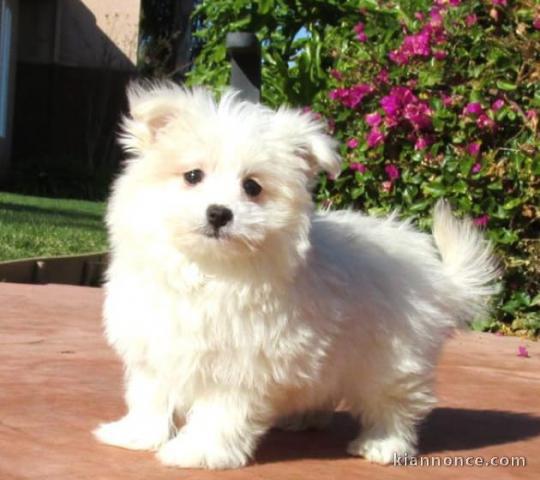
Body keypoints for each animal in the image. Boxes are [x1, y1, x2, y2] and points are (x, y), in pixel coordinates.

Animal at [95, 81, 500, 468]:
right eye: (192, 176)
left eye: (252, 187)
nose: (219, 213)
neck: (209, 268)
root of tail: (439, 277)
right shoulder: (152, 347)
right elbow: (150, 396)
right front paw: (136, 434)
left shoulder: (240, 364)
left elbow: (218, 412)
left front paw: (199, 451)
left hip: (393, 357)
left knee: (394, 402)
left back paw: (384, 444)